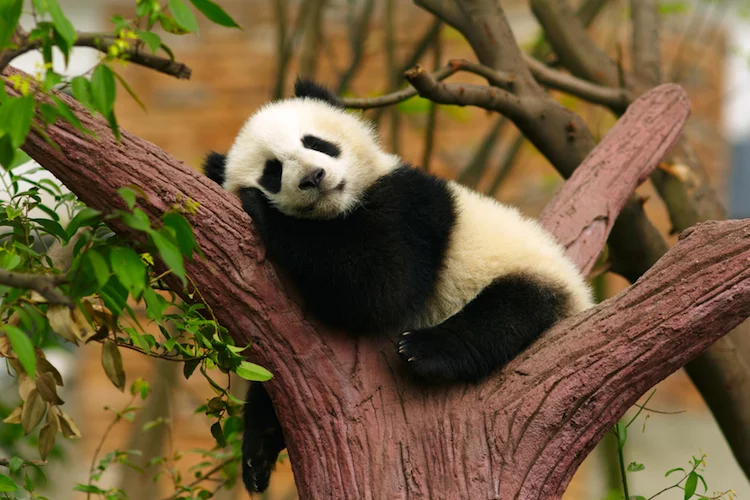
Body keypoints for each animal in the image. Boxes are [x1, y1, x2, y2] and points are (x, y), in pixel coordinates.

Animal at [203, 79, 593, 494]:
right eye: (273, 171)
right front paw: (257, 451)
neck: (339, 209)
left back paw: (425, 350)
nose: (313, 177)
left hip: (528, 272)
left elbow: (380, 287)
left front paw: (262, 210)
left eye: (316, 143)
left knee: (507, 312)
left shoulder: (409, 206)